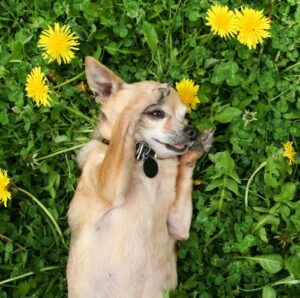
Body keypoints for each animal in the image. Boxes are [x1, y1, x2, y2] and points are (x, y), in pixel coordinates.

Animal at [67, 57, 213, 296]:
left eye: (185, 117)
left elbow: (183, 174)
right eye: (155, 113)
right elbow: (125, 120)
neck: (144, 157)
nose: (191, 131)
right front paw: (149, 94)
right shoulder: (110, 188)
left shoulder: (178, 226)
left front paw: (194, 151)